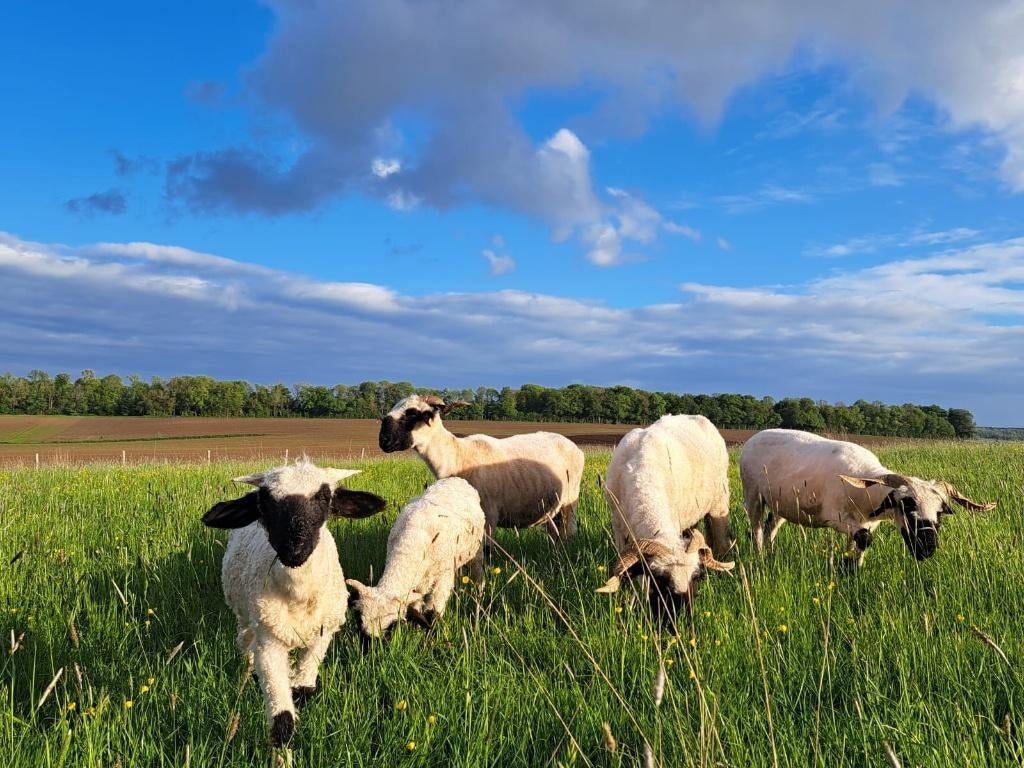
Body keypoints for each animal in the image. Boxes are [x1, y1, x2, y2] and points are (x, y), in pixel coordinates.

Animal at [201, 459, 385, 747]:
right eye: (265, 502)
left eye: (324, 497)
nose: (293, 547)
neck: (299, 598)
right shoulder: (269, 643)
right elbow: (282, 722)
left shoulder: (322, 636)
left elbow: (304, 688)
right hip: (245, 615)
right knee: (245, 642)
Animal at [346, 477, 485, 639]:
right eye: (359, 622)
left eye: (391, 626)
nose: (373, 646)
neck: (409, 543)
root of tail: (455, 478)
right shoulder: (416, 586)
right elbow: (416, 609)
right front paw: (417, 631)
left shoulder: (442, 580)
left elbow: (433, 612)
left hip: (476, 552)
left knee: (478, 577)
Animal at [378, 394, 585, 547]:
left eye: (412, 414)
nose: (383, 441)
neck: (457, 455)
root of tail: (574, 446)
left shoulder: (489, 515)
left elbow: (486, 550)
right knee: (555, 535)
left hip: (569, 502)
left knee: (566, 534)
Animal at [596, 414, 735, 615]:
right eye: (661, 579)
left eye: (697, 576)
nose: (685, 614)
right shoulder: (618, 527)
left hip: (719, 503)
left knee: (721, 539)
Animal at [739, 429, 996, 565]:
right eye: (907, 505)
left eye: (940, 512)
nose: (927, 550)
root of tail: (755, 437)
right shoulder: (836, 517)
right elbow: (864, 539)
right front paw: (848, 568)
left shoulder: (867, 523)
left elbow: (859, 544)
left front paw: (852, 567)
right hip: (753, 495)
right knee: (757, 529)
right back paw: (759, 558)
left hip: (782, 503)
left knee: (771, 527)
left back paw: (770, 556)